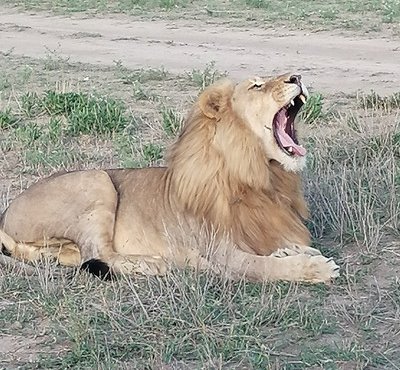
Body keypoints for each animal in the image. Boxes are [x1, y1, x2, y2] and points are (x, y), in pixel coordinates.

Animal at [0, 73, 340, 284]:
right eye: (257, 85)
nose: (297, 77)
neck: (261, 175)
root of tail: (6, 214)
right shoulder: (221, 253)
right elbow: (262, 265)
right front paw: (313, 266)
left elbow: (276, 245)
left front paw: (293, 250)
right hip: (97, 180)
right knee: (97, 253)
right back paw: (155, 263)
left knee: (77, 255)